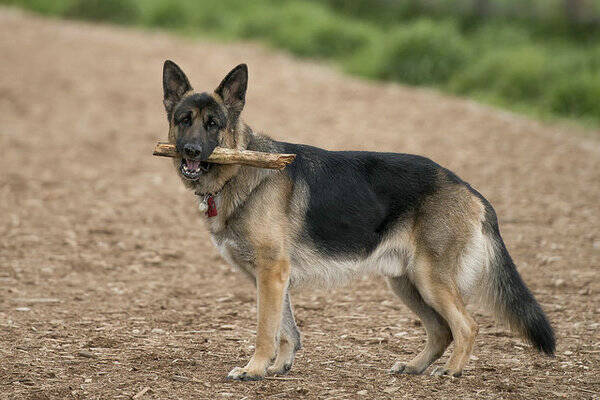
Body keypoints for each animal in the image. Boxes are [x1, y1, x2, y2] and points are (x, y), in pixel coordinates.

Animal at [161, 61, 556, 380]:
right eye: (184, 120)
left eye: (214, 124)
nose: (191, 151)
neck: (239, 172)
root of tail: (469, 189)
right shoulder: (272, 278)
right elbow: (287, 329)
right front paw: (278, 367)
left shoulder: (271, 273)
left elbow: (265, 330)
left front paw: (254, 369)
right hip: (406, 283)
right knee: (441, 330)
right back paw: (415, 366)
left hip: (431, 281)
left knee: (467, 326)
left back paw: (452, 372)